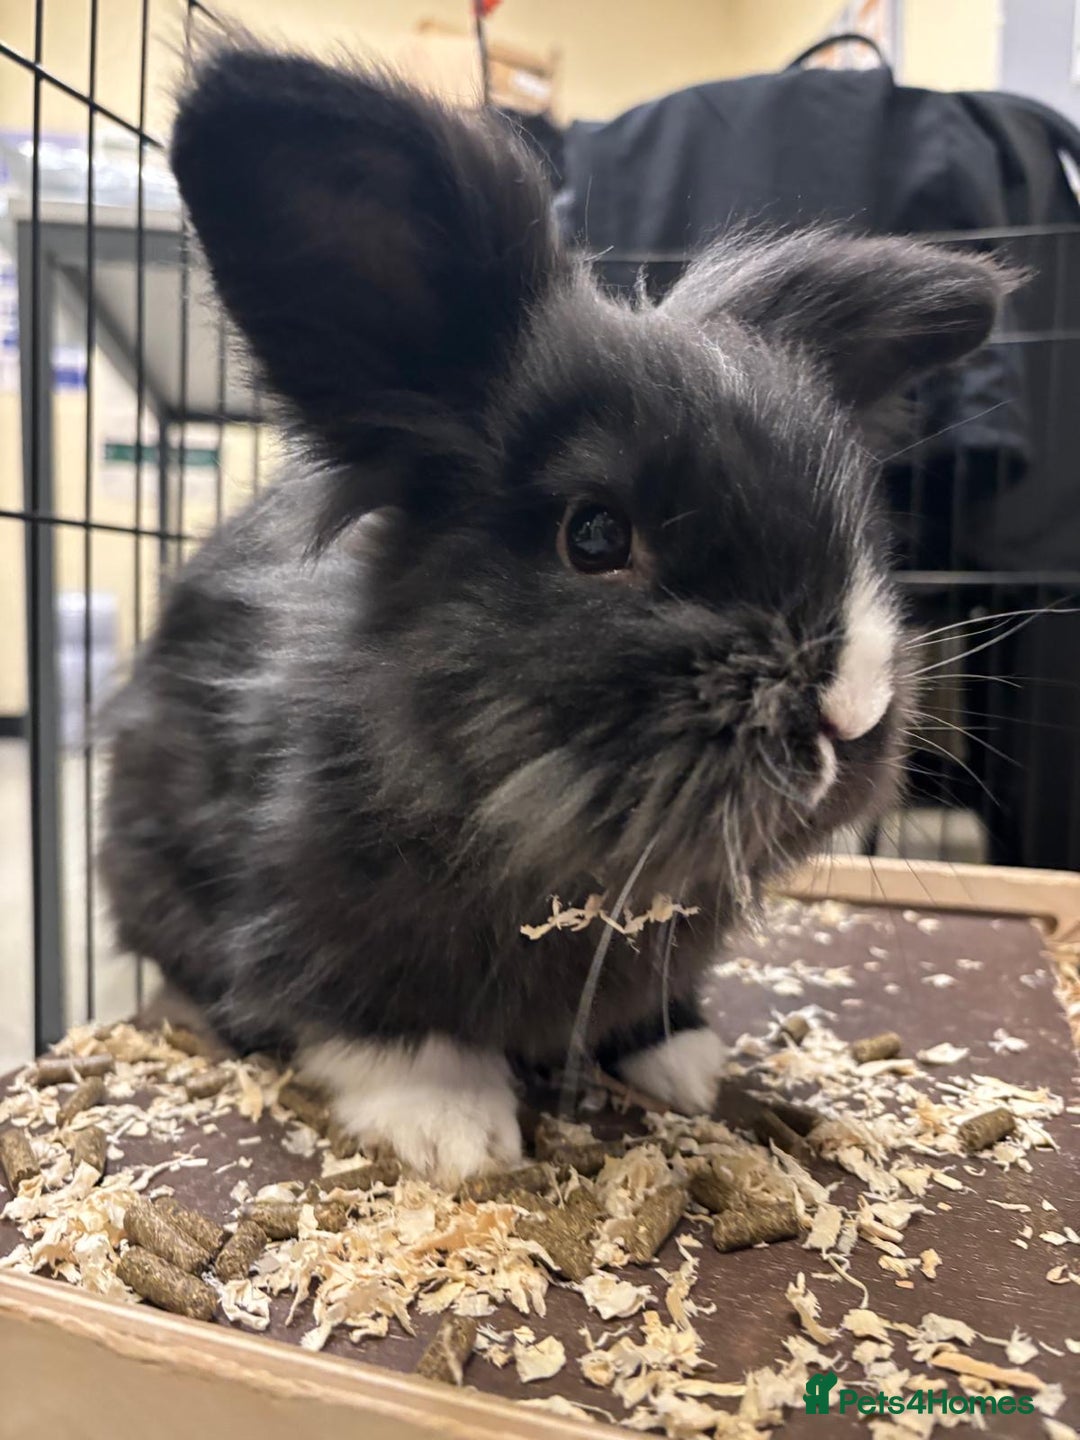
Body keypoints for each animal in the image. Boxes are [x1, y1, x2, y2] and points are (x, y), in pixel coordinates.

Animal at [100, 42, 1011, 1185]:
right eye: (595, 535)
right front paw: (453, 1130)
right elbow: (367, 1016)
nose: (852, 711)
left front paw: (686, 1062)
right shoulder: (301, 905)